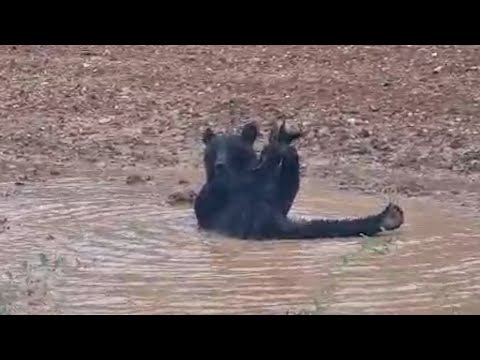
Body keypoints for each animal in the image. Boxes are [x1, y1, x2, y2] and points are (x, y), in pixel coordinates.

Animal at [193, 121, 404, 239]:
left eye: (233, 148)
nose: (220, 164)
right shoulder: (217, 198)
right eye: (214, 149)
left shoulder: (268, 198)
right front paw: (275, 148)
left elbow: (282, 191)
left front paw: (282, 144)